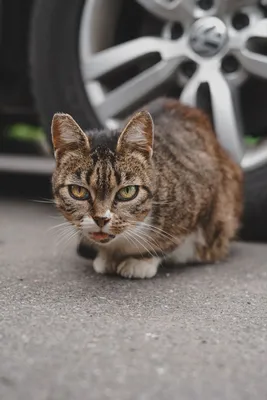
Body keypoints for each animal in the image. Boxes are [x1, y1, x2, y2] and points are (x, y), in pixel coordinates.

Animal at [51, 97, 244, 278]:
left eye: (127, 192)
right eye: (79, 191)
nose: (101, 219)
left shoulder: (205, 204)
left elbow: (171, 242)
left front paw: (141, 261)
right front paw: (106, 257)